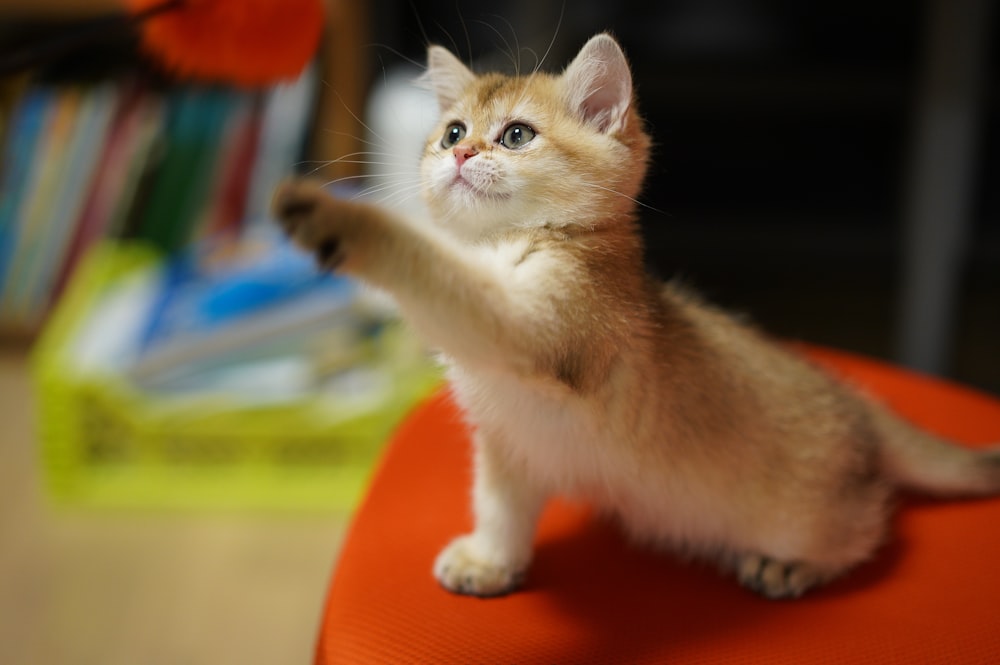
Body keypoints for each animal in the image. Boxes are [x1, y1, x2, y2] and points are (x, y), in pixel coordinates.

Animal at [274, 33, 1000, 600]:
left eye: (516, 135)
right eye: (452, 131)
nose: (460, 153)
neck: (512, 243)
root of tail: (858, 404)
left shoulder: (538, 321)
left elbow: (434, 267)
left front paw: (344, 220)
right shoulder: (509, 440)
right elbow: (501, 504)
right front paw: (493, 560)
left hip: (809, 513)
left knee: (872, 522)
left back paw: (796, 564)